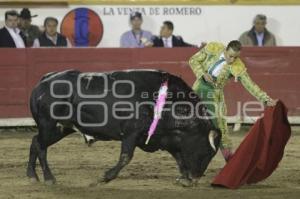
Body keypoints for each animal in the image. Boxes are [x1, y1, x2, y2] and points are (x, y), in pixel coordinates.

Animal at [27, 69, 221, 187]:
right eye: (207, 151)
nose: (196, 178)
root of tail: (44, 80)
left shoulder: (165, 137)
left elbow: (179, 157)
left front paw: (184, 179)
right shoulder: (131, 133)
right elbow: (126, 157)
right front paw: (105, 177)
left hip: (61, 128)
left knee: (35, 142)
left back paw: (32, 176)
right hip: (48, 124)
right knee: (41, 146)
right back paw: (49, 178)